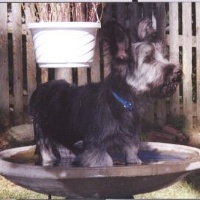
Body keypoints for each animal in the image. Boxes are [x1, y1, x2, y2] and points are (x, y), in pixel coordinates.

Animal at [29, 18, 181, 167]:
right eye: (149, 59)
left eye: (164, 56)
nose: (178, 71)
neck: (122, 101)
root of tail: (39, 90)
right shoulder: (96, 149)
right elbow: (107, 162)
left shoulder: (130, 143)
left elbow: (133, 156)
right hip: (43, 138)